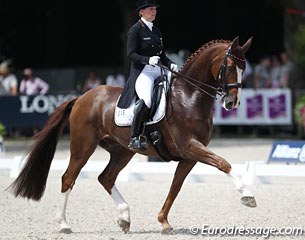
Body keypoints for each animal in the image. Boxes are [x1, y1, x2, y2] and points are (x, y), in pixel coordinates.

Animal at [7, 36, 254, 234]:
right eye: (230, 67)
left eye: (244, 68)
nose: (232, 103)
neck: (189, 97)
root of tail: (81, 97)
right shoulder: (189, 146)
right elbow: (223, 163)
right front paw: (247, 196)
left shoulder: (189, 156)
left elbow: (176, 187)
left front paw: (164, 222)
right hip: (83, 146)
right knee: (69, 178)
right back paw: (64, 224)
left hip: (122, 150)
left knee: (106, 177)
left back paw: (124, 218)